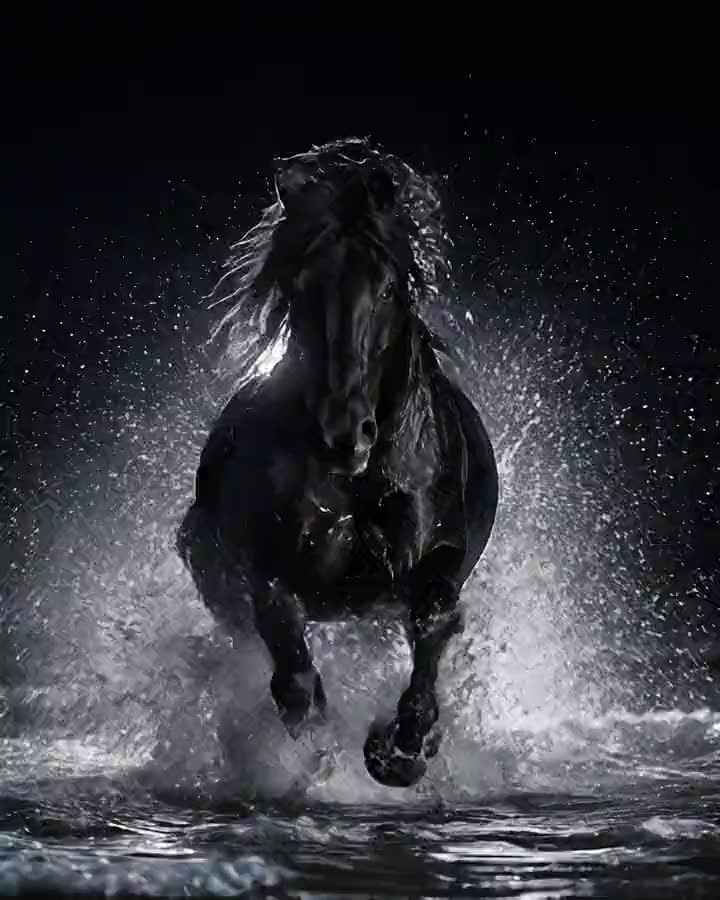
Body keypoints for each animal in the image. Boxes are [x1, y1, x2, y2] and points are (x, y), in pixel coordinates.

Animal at [177, 138, 498, 788]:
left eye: (390, 288)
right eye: (302, 284)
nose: (343, 435)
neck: (361, 483)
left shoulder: (442, 558)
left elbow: (433, 624)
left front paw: (400, 750)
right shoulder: (264, 568)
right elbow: (293, 675)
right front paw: (321, 753)